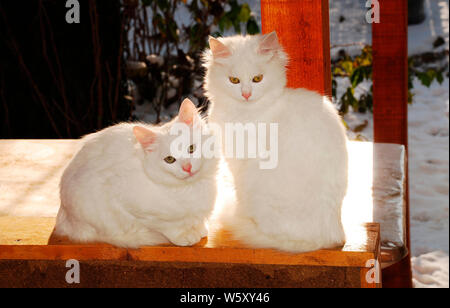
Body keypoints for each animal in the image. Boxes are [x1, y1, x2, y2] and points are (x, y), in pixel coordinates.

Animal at [54, 98, 220, 248]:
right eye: (170, 159)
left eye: (191, 149)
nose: (187, 167)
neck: (191, 188)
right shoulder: (133, 206)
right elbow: (170, 226)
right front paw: (184, 235)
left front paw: (199, 228)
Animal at [204, 31, 348, 253]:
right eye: (234, 80)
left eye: (257, 79)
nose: (246, 94)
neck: (246, 112)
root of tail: (325, 238)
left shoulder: (239, 163)